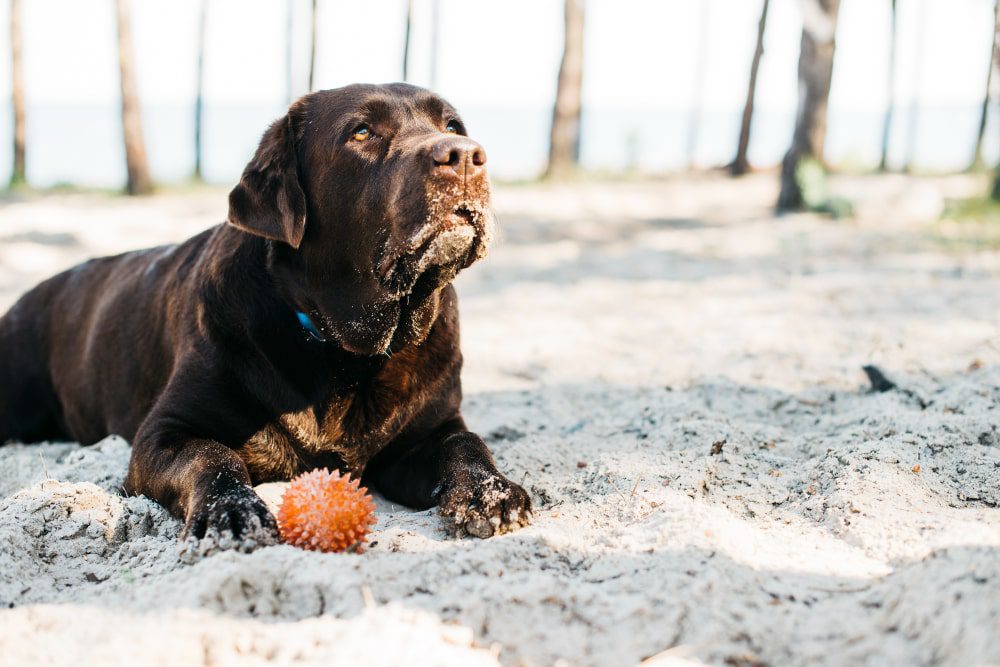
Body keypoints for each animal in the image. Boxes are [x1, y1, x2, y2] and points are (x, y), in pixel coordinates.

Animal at [0, 83, 532, 552]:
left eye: (452, 125)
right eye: (361, 132)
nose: (464, 154)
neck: (347, 353)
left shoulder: (427, 430)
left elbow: (466, 443)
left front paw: (491, 493)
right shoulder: (164, 432)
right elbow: (212, 456)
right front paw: (232, 510)